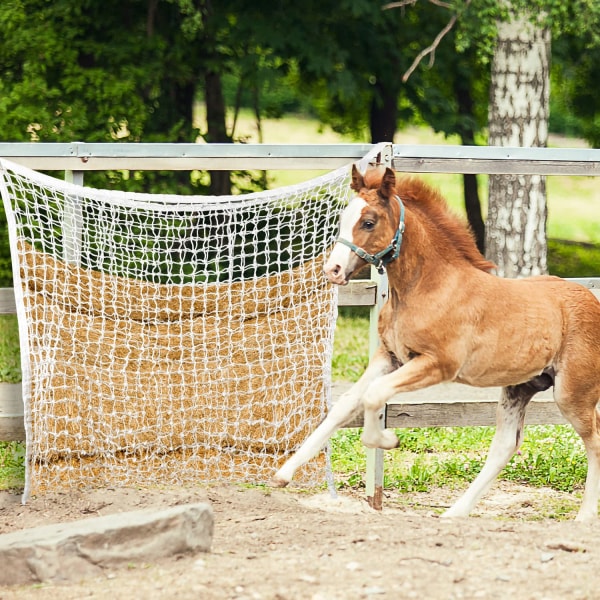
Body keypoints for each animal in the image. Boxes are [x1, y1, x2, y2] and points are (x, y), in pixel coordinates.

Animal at [274, 164, 600, 520]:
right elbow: (345, 404)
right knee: (505, 445)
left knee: (594, 441)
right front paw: (283, 473)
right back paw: (454, 513)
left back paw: (584, 517)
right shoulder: (389, 356)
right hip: (520, 387)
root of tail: (593, 301)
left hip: (572, 394)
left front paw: (387, 440)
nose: (332, 269)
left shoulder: (437, 364)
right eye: (345, 217)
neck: (427, 287)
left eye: (369, 221)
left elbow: (375, 395)